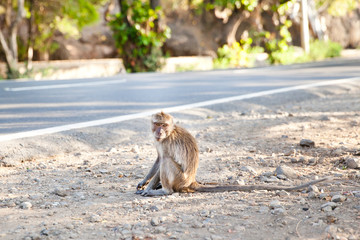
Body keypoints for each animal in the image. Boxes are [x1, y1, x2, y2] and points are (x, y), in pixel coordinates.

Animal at [136, 111, 330, 197]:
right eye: (157, 124)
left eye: (164, 125)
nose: (159, 131)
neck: (167, 134)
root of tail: (191, 181)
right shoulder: (158, 141)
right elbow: (158, 159)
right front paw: (143, 182)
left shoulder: (166, 142)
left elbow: (163, 160)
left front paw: (148, 188)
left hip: (180, 178)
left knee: (168, 163)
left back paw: (165, 191)